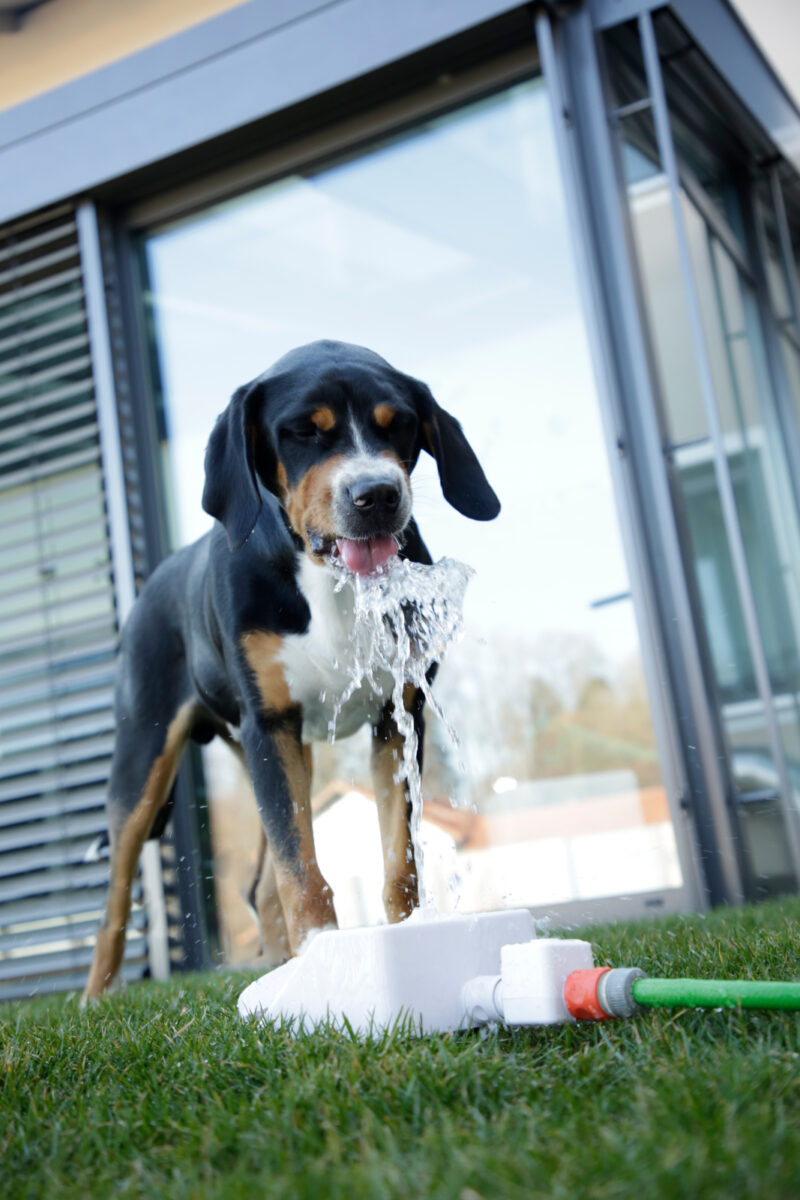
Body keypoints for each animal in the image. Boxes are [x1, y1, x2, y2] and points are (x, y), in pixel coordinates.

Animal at [82, 340, 501, 1003]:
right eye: (304, 430)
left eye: (399, 424)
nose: (377, 494)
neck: (330, 580)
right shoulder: (271, 726)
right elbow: (299, 867)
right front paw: (323, 956)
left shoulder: (397, 716)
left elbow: (398, 857)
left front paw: (402, 938)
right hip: (143, 761)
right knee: (115, 904)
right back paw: (94, 999)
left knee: (257, 886)